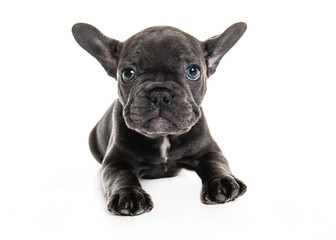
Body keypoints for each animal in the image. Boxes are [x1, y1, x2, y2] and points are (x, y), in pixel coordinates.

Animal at [71, 22, 247, 217]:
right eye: (127, 74)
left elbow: (216, 163)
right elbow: (121, 175)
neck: (163, 136)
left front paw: (222, 181)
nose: (160, 94)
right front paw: (128, 194)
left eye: (193, 71)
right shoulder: (115, 162)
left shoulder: (209, 150)